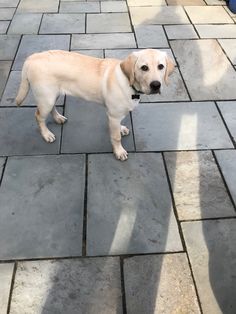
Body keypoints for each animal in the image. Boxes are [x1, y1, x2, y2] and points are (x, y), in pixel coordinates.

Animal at [15, 50, 174, 162]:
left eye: (161, 66)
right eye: (144, 68)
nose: (156, 85)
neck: (129, 83)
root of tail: (32, 57)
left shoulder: (115, 115)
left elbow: (118, 127)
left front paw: (122, 129)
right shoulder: (113, 115)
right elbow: (115, 137)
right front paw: (119, 151)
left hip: (52, 95)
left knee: (51, 108)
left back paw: (58, 118)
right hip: (46, 97)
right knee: (38, 116)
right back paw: (46, 134)